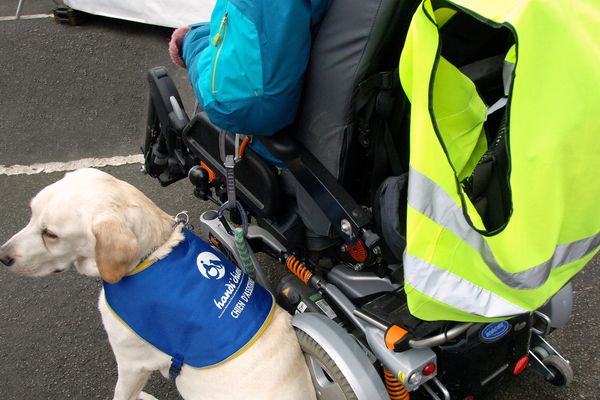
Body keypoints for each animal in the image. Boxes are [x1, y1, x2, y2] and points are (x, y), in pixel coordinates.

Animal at [0, 168, 316, 400]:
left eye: (50, 234)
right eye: (31, 214)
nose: (3, 256)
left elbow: (123, 394)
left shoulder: (131, 362)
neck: (152, 251)